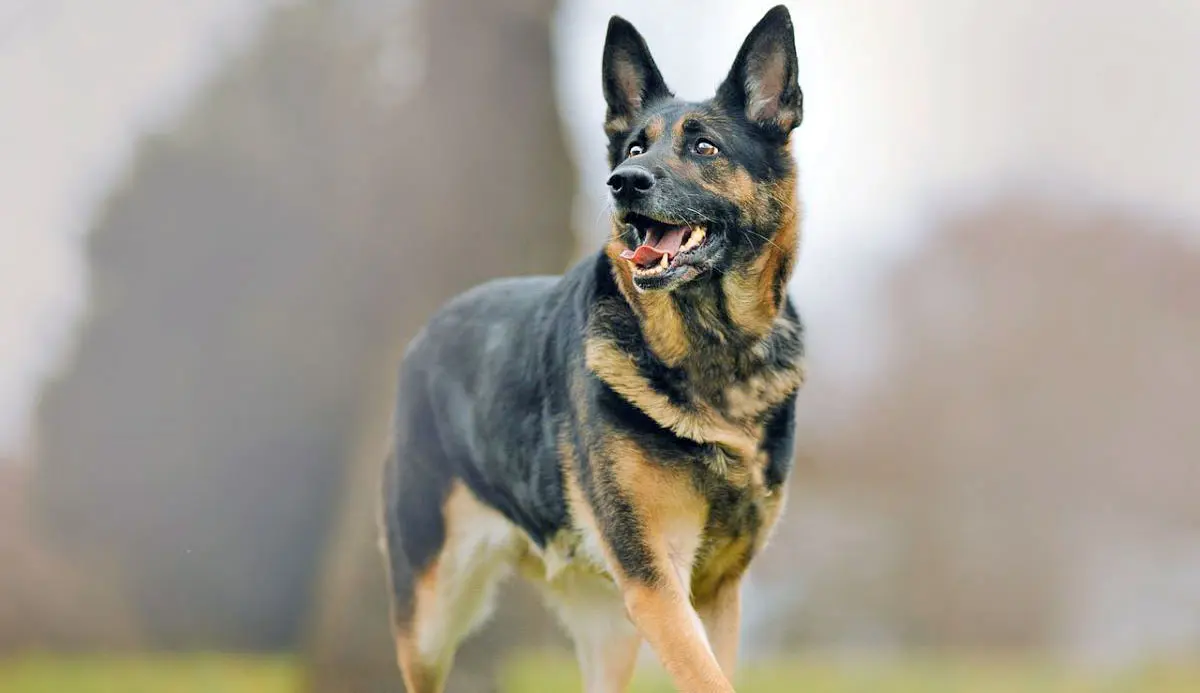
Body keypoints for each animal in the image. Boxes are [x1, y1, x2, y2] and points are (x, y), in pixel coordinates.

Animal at [384, 6, 806, 690]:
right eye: (635, 147)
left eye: (705, 147)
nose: (622, 182)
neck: (711, 353)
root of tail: (427, 332)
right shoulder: (657, 583)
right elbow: (705, 676)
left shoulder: (716, 592)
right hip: (429, 617)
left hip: (608, 630)